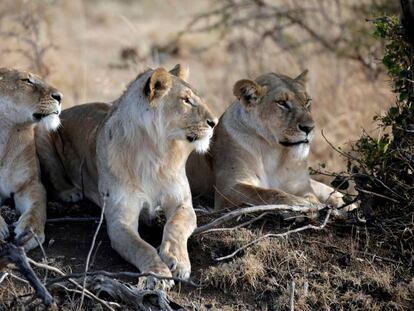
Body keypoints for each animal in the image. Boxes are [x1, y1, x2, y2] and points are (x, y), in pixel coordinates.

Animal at [35, 64, 217, 292]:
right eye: (186, 100)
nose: (214, 122)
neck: (157, 153)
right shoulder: (120, 221)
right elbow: (143, 248)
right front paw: (157, 274)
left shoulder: (182, 203)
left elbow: (175, 226)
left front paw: (177, 260)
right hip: (42, 129)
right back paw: (70, 193)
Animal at [186, 70, 358, 212]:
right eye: (282, 103)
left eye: (307, 102)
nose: (309, 128)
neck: (275, 150)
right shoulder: (229, 189)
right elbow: (271, 194)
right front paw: (307, 205)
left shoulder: (301, 185)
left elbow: (308, 195)